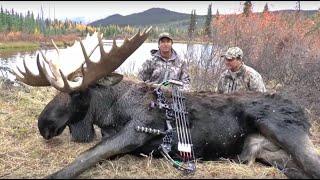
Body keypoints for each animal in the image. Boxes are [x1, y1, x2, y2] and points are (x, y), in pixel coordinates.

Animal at [13, 26, 320, 179]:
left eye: (77, 93)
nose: (43, 124)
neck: (112, 110)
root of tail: (304, 113)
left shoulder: (135, 132)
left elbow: (84, 158)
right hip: (274, 156)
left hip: (282, 129)